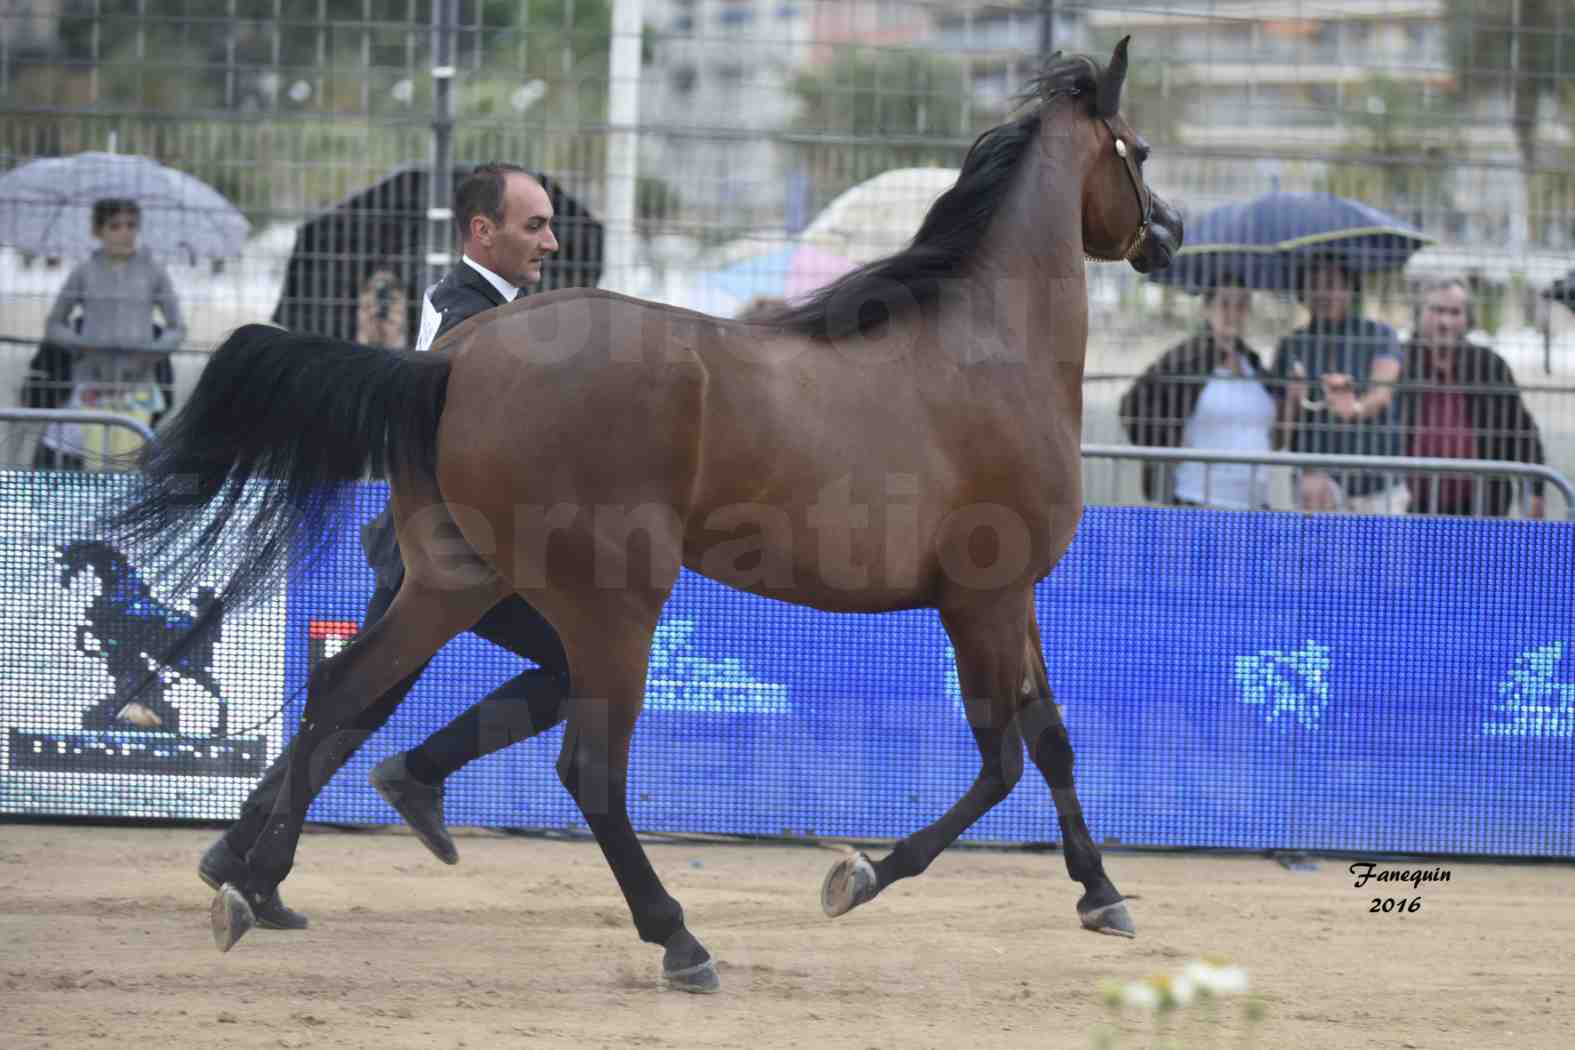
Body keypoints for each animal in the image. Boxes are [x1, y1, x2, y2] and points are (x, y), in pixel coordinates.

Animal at [104, 41, 1178, 994]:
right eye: (1138, 149)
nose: (1167, 233)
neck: (983, 353)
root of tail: (451, 359)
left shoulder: (1011, 599)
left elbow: (1049, 741)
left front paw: (1100, 893)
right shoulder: (983, 596)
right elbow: (1004, 761)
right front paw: (859, 875)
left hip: (454, 580)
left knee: (345, 693)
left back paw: (251, 884)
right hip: (613, 603)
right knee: (588, 769)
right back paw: (678, 942)